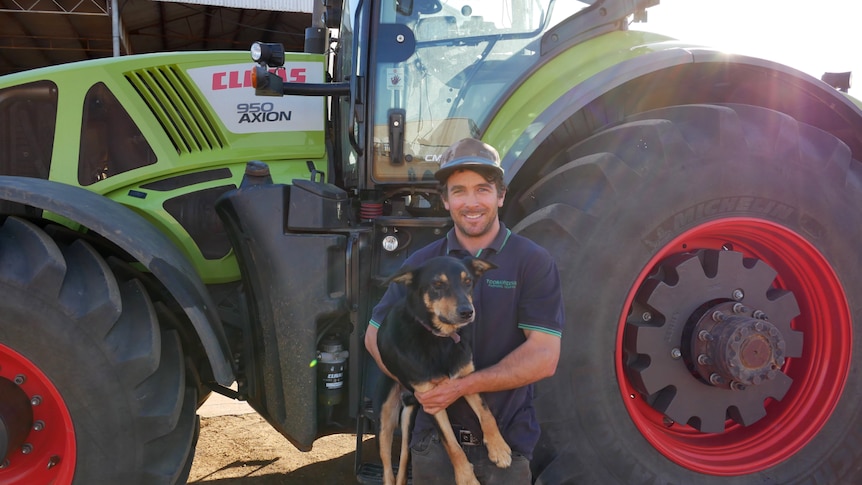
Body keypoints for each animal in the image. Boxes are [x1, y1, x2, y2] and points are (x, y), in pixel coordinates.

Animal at [378, 253, 512, 484]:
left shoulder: (466, 378)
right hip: (388, 414)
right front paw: (466, 478)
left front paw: (499, 448)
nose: (467, 312)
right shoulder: (431, 399)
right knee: (387, 461)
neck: (440, 338)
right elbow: (452, 444)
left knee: (403, 459)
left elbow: (486, 413)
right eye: (437, 285)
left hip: (409, 416)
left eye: (468, 282)